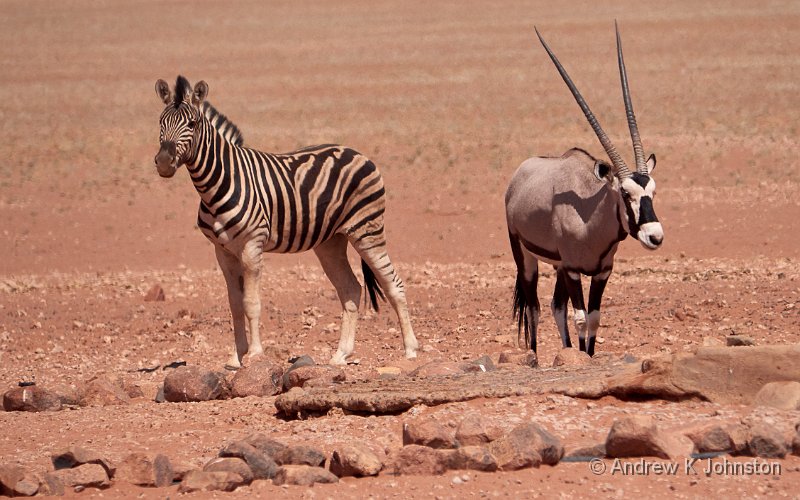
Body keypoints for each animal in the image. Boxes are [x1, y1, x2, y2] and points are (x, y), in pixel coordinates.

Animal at [152, 76, 422, 370]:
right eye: (160, 122)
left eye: (192, 124)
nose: (163, 162)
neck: (221, 181)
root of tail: (358, 152)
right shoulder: (222, 251)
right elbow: (235, 304)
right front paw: (236, 357)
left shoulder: (252, 246)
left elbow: (251, 302)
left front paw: (255, 354)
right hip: (330, 241)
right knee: (351, 288)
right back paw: (341, 354)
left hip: (367, 230)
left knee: (393, 284)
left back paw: (410, 350)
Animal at [506, 24, 664, 356]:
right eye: (625, 194)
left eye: (652, 192)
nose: (655, 236)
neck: (592, 216)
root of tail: (519, 175)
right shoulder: (573, 269)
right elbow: (579, 318)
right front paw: (579, 356)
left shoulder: (601, 271)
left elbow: (593, 318)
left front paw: (585, 355)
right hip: (525, 257)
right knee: (533, 308)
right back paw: (534, 354)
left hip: (556, 267)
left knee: (555, 306)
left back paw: (565, 349)